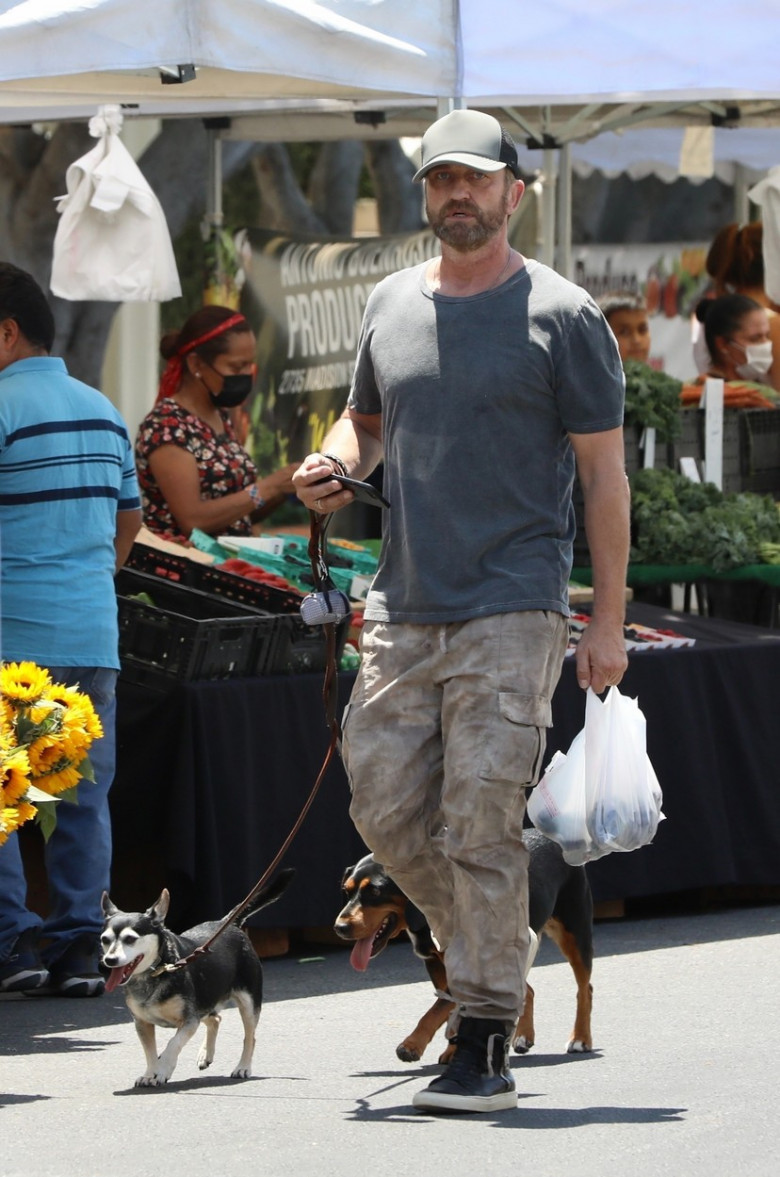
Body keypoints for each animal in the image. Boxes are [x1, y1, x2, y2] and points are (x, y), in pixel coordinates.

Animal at [97, 870, 292, 1087]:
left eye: (130, 939)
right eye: (104, 940)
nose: (109, 960)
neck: (158, 970)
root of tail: (229, 924)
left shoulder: (189, 1021)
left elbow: (172, 1044)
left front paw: (162, 1069)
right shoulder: (143, 1024)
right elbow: (150, 1052)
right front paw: (150, 1073)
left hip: (248, 1003)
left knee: (250, 1036)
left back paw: (243, 1067)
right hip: (205, 1001)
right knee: (215, 1018)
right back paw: (206, 1054)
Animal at [331, 828, 595, 1068]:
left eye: (375, 891)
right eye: (346, 891)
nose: (339, 927)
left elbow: (436, 1011)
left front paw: (413, 1044)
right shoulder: (436, 965)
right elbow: (451, 1010)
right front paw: (453, 1050)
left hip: (575, 932)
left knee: (585, 989)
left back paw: (580, 1038)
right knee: (526, 990)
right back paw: (523, 1036)